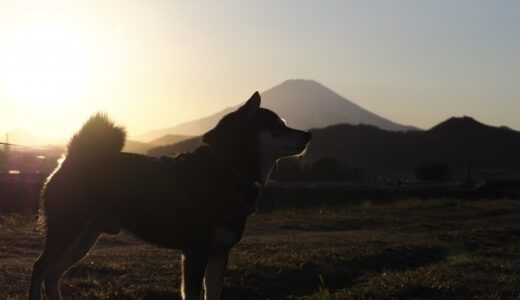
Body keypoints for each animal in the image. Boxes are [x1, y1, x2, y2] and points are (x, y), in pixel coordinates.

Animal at [28, 92, 310, 300]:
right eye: (279, 126)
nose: (308, 134)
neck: (226, 169)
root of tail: (73, 156)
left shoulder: (219, 251)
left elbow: (213, 293)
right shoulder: (196, 252)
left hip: (84, 239)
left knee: (52, 275)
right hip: (68, 232)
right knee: (40, 269)